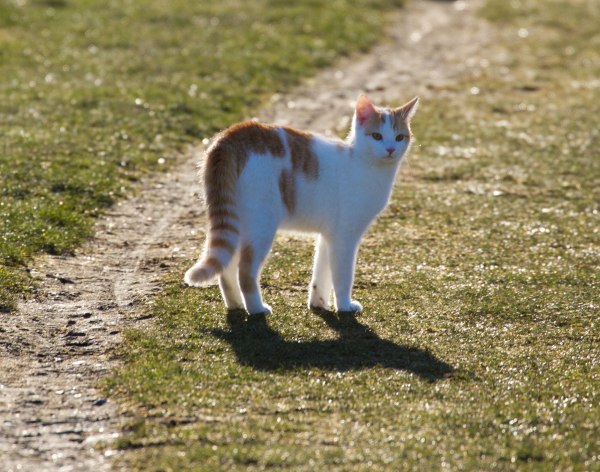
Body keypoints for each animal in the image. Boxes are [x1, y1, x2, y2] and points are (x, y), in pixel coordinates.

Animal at [185, 94, 419, 315]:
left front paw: (318, 303)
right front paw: (344, 306)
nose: (390, 149)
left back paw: (236, 305)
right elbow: (343, 277)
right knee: (245, 271)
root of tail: (232, 134)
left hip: (236, 223)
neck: (363, 163)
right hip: (261, 225)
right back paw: (256, 309)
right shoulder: (345, 237)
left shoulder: (329, 236)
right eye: (377, 136)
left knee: (226, 269)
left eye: (399, 137)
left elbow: (322, 273)